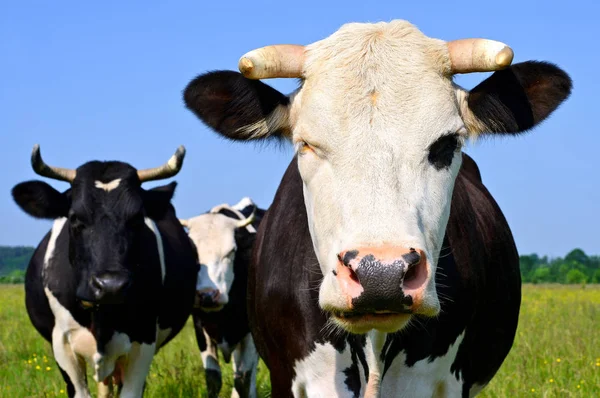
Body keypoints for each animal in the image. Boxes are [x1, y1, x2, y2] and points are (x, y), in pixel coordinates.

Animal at [177, 197, 264, 398]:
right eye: (193, 251)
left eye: (231, 251)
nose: (208, 294)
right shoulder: (199, 326)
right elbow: (213, 379)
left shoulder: (250, 332)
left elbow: (243, 379)